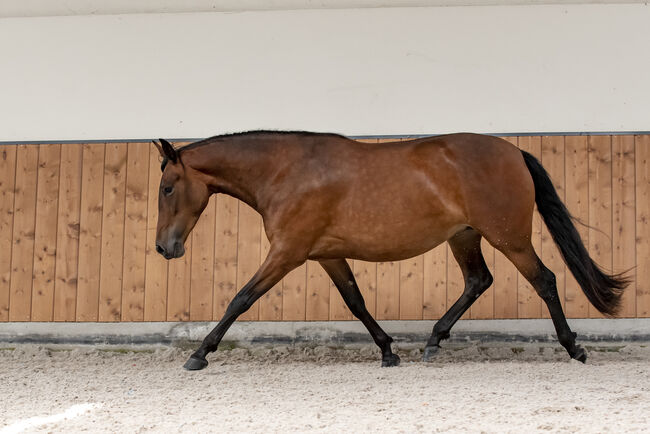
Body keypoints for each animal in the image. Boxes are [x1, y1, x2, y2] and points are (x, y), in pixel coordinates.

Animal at [149, 131, 624, 372]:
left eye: (168, 187)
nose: (164, 247)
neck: (287, 171)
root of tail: (515, 151)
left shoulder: (287, 253)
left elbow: (240, 299)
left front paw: (198, 354)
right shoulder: (326, 255)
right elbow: (357, 302)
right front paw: (388, 352)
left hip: (509, 238)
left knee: (544, 280)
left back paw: (574, 348)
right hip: (465, 236)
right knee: (478, 281)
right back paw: (433, 342)